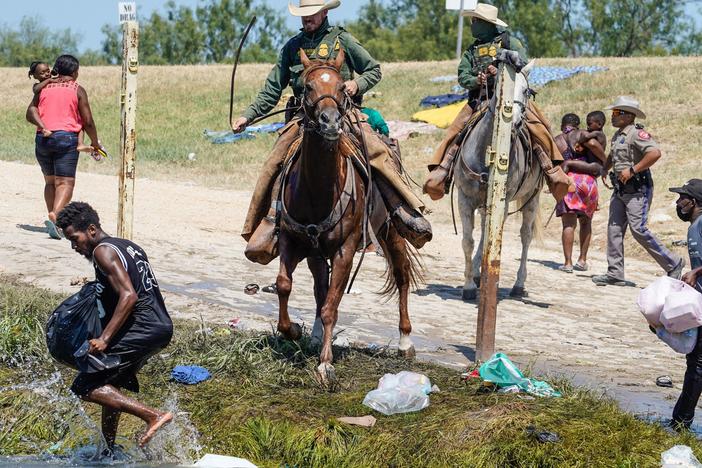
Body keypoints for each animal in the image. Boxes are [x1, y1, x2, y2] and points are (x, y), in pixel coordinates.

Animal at [276, 49, 418, 382]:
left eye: (342, 87)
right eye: (308, 86)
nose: (329, 122)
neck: (317, 190)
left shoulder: (346, 250)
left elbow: (332, 306)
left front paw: (325, 364)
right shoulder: (291, 240)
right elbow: (285, 285)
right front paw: (293, 330)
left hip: (391, 231)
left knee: (402, 276)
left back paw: (405, 341)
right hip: (316, 253)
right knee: (320, 288)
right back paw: (315, 334)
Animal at [456, 63, 544, 300]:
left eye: (526, 90)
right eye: (499, 88)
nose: (514, 121)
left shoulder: (501, 203)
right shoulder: (465, 199)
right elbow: (468, 242)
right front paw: (469, 285)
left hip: (531, 199)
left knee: (525, 236)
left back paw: (518, 285)